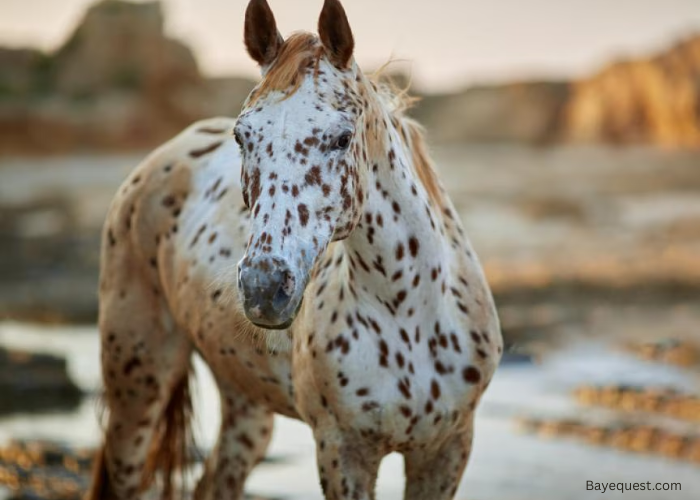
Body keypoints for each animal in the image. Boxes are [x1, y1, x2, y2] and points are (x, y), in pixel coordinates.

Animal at [87, 1, 502, 499]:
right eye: (243, 136)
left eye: (342, 137)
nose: (264, 289)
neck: (408, 314)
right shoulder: (342, 450)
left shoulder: (445, 452)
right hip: (138, 382)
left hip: (244, 404)